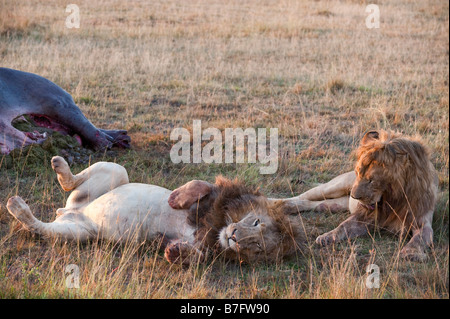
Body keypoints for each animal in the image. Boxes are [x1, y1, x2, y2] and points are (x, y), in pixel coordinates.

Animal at [284, 130, 438, 262]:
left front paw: (411, 253)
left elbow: (419, 238)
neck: (393, 201)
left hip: (335, 204)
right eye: (357, 173)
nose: (353, 196)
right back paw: (281, 204)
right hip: (333, 187)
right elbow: (343, 225)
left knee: (314, 204)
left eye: (371, 180)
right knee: (302, 197)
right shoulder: (364, 216)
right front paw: (327, 237)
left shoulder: (421, 221)